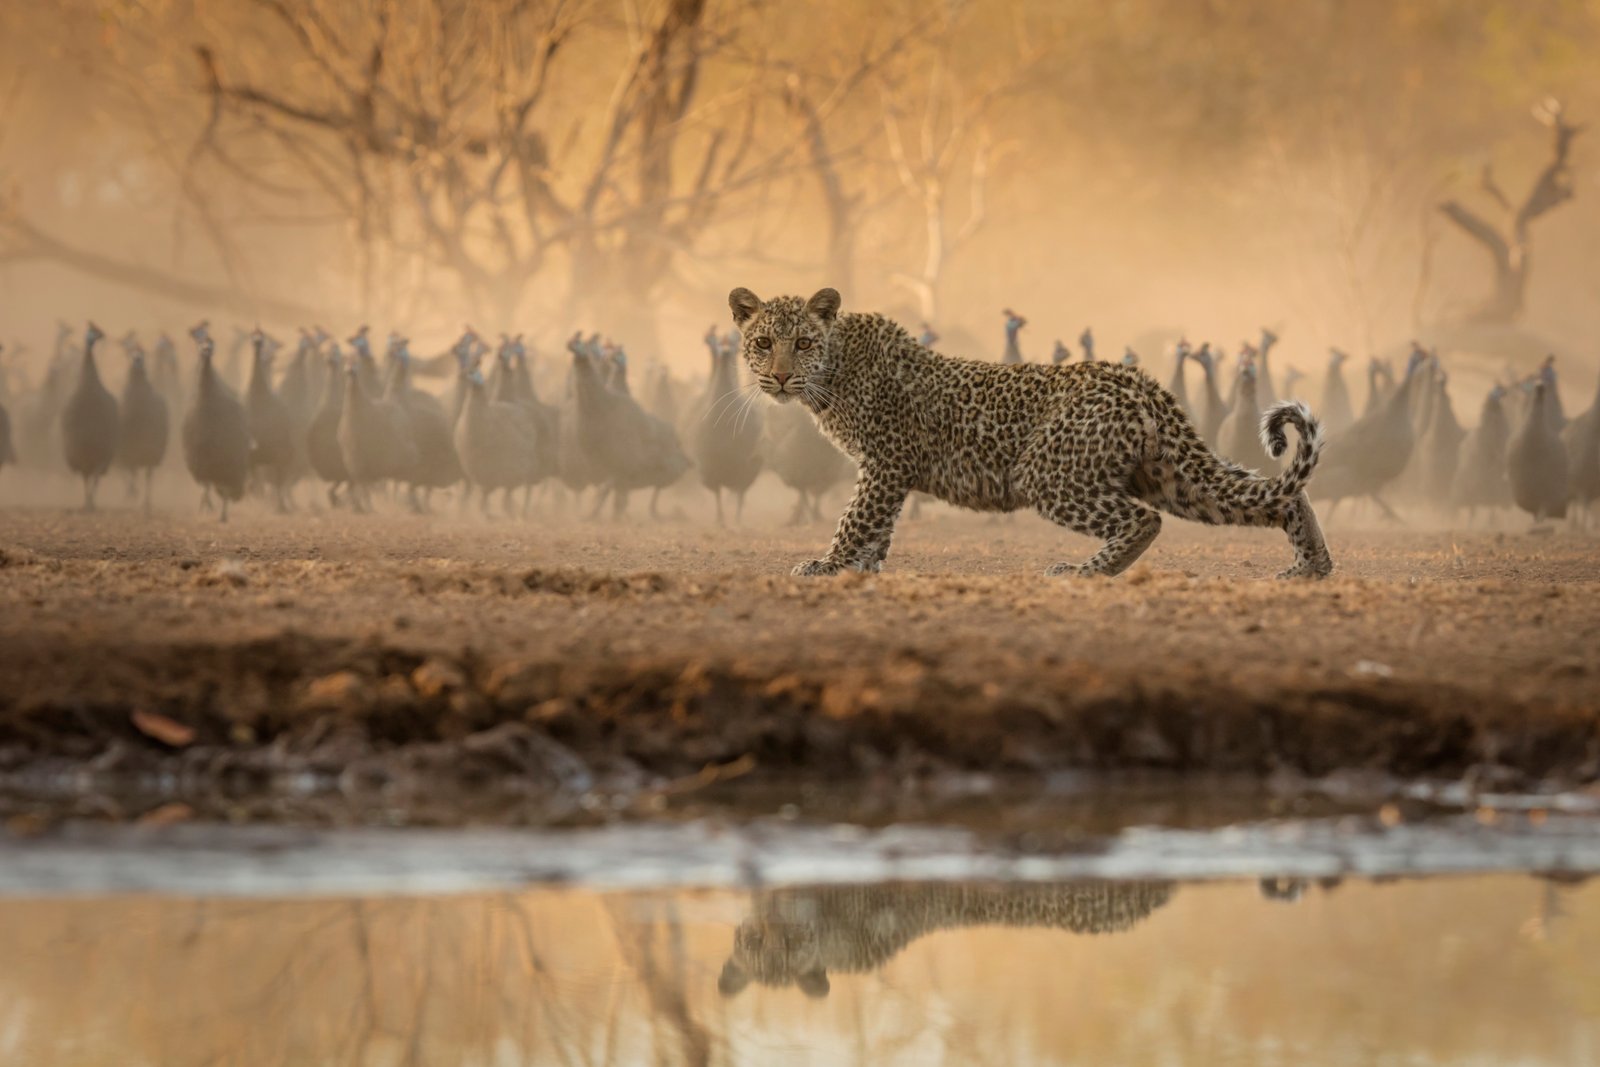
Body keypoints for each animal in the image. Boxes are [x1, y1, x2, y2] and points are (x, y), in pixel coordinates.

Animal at [729, 286, 1333, 579]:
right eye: (763, 343)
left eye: (803, 342)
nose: (778, 375)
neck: (833, 370)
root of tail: (1137, 378)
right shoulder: (886, 470)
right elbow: (877, 524)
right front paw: (861, 567)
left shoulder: (884, 462)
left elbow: (856, 518)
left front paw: (827, 565)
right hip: (1167, 474)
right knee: (1276, 496)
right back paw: (1310, 568)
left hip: (1049, 472)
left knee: (1144, 520)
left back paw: (1081, 573)